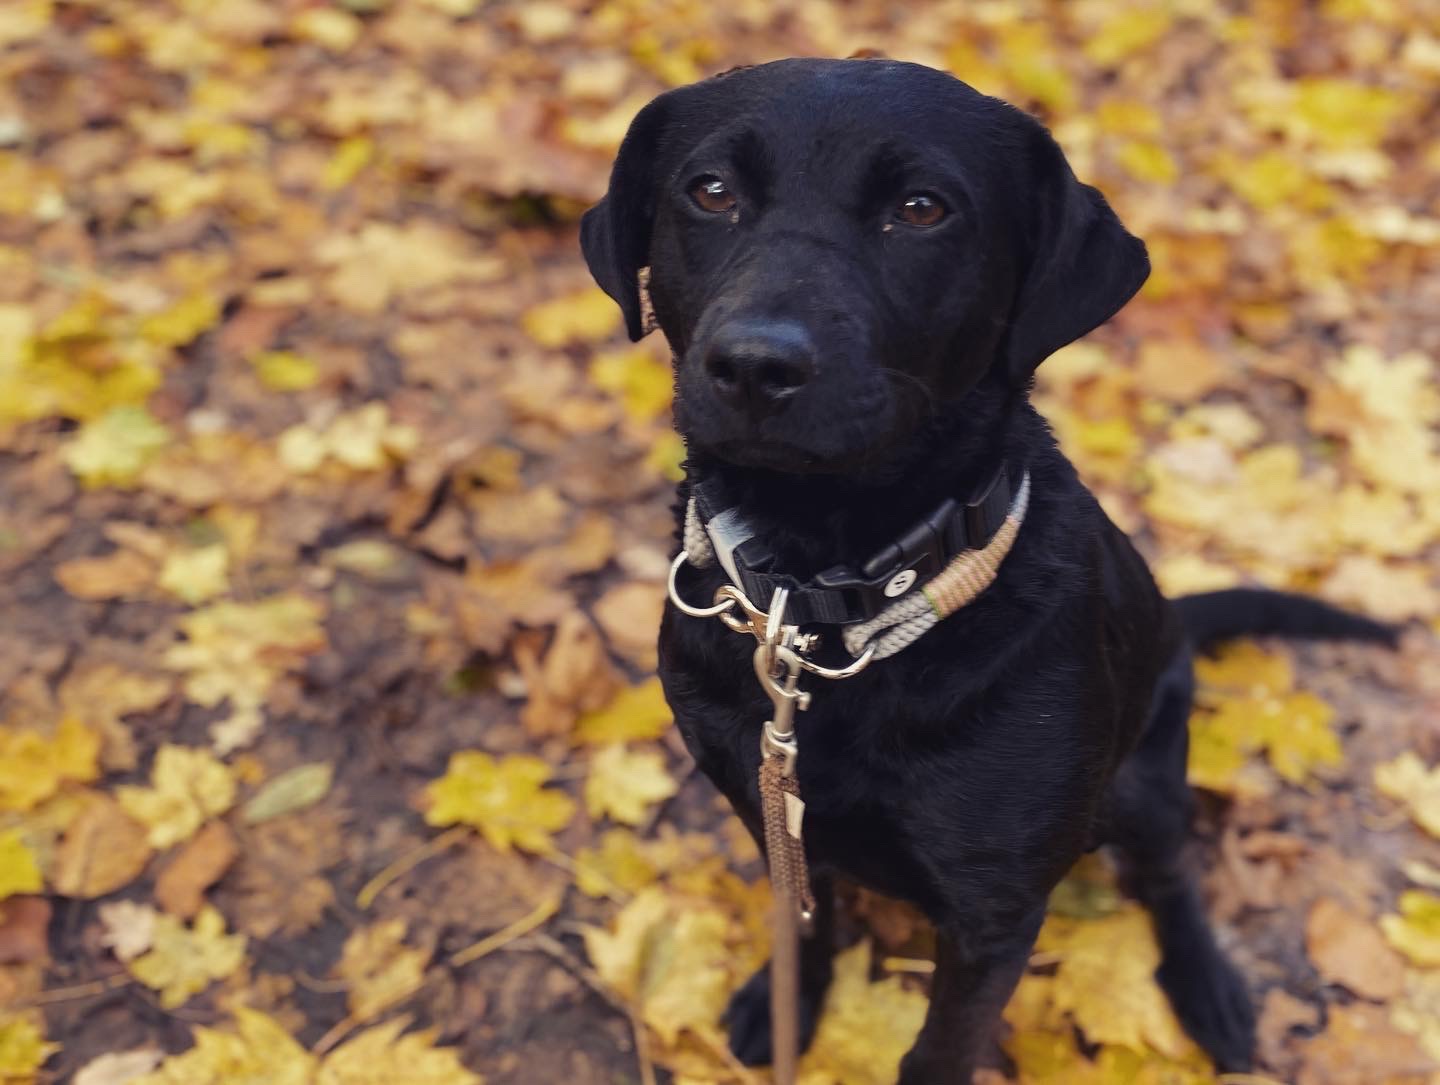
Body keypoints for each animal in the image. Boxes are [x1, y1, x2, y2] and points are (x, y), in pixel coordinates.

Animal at [578, 61, 1388, 1083]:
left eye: (921, 209)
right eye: (711, 191)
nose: (755, 364)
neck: (827, 602)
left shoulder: (994, 909)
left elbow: (940, 1047)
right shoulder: (774, 813)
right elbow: (805, 920)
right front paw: (786, 1001)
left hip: (1147, 779)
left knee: (1171, 874)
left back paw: (1206, 990)